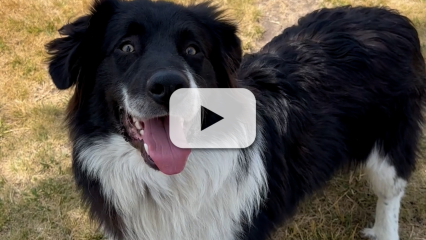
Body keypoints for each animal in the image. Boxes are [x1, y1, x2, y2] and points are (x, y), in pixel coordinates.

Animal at [45, 0, 426, 239]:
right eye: (125, 47)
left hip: (391, 143)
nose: (170, 86)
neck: (169, 184)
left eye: (193, 50)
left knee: (390, 193)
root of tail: (390, 16)